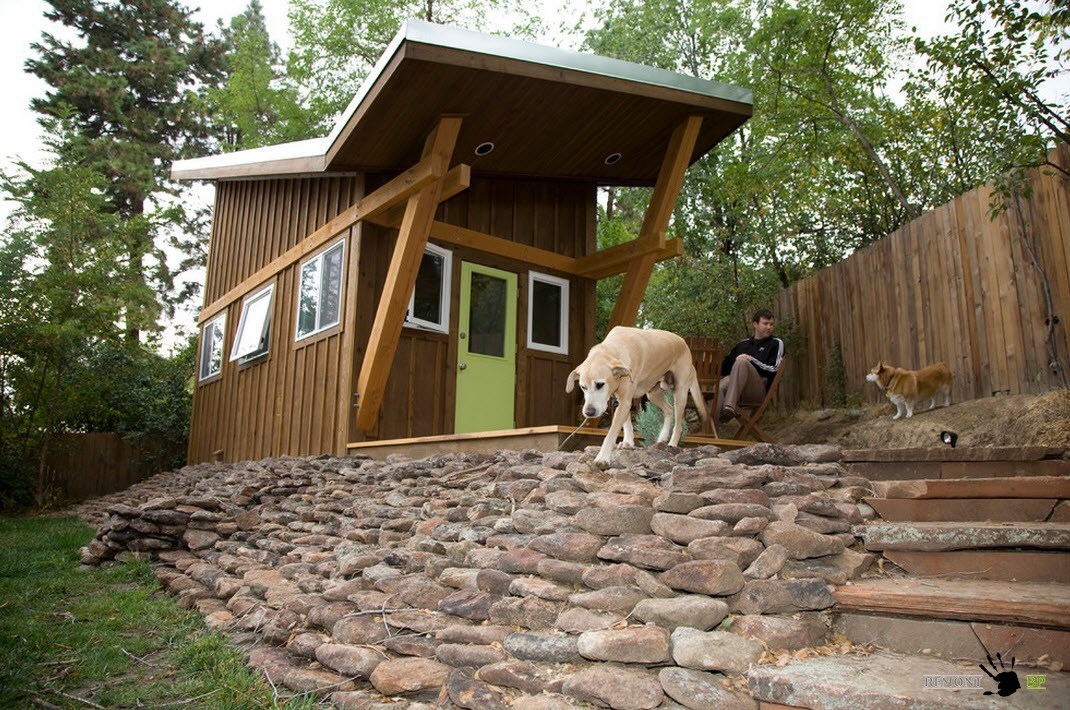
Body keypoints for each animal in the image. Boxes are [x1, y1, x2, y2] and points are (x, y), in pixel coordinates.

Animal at [569, 327, 710, 466]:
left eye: (600, 384)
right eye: (583, 387)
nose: (589, 412)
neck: (614, 349)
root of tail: (684, 344)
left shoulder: (625, 401)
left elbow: (611, 433)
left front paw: (602, 457)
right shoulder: (622, 401)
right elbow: (626, 423)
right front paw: (628, 442)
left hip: (680, 393)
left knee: (678, 425)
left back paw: (672, 443)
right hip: (653, 394)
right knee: (669, 409)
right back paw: (662, 437)